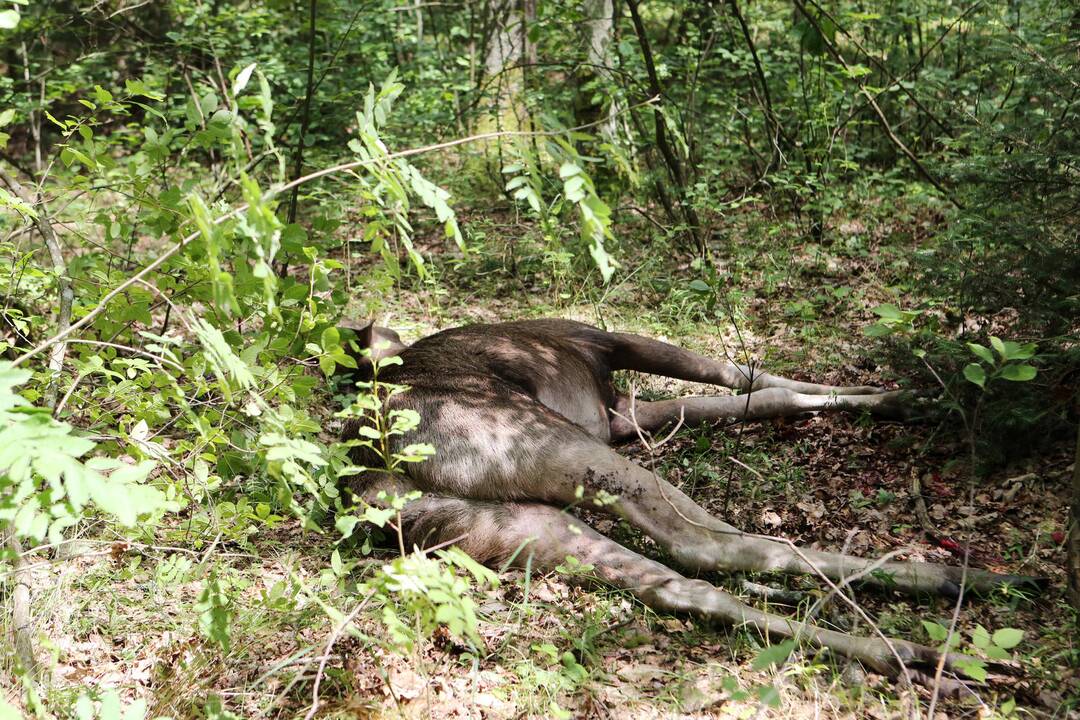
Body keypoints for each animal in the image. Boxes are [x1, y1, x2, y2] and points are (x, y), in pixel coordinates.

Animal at [341, 319, 1032, 682]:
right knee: (711, 544)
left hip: (516, 524)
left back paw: (918, 650)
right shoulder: (605, 345)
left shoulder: (624, 415)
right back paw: (962, 583)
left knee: (678, 584)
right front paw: (907, 395)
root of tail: (376, 481)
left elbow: (756, 395)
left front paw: (890, 394)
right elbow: (747, 376)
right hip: (554, 447)